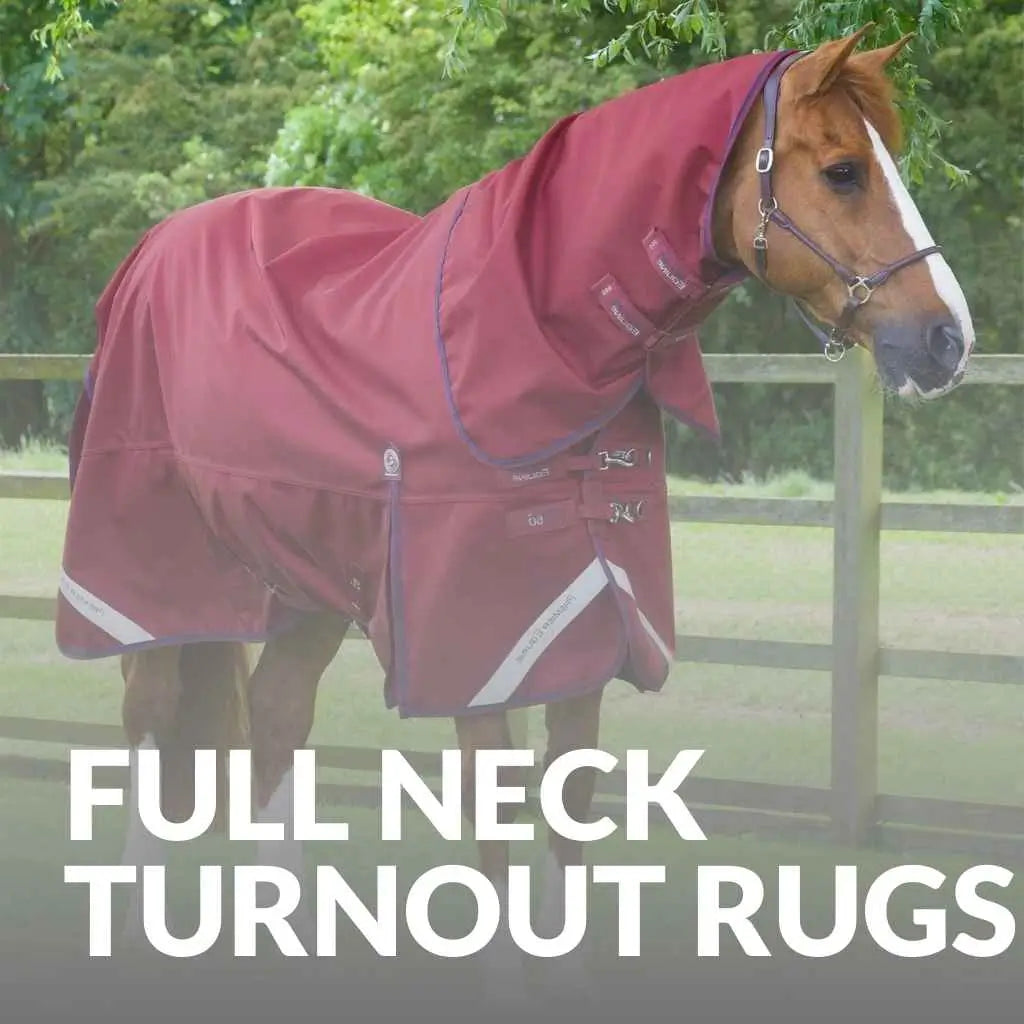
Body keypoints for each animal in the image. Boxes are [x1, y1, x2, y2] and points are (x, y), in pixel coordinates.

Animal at [55, 25, 973, 999]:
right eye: (843, 171)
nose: (949, 339)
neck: (538, 346)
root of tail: (152, 251)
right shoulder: (481, 649)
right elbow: (496, 833)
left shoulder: (589, 627)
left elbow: (566, 819)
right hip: (152, 576)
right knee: (151, 721)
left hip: (307, 580)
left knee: (275, 716)